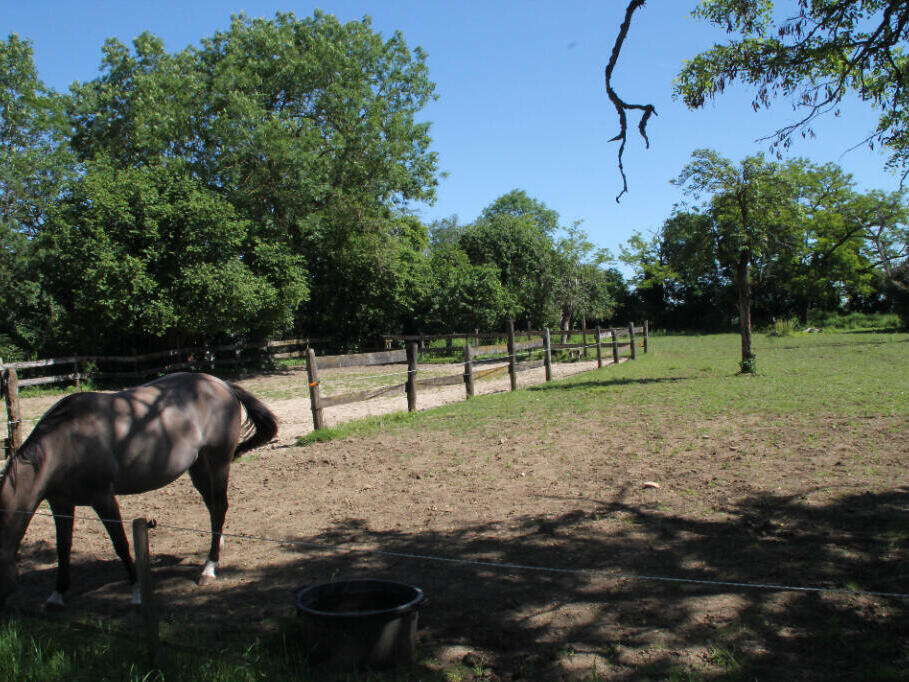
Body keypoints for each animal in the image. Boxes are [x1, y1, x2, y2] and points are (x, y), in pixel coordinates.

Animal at [0, 372, 276, 604]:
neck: (66, 442)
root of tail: (221, 384)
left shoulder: (103, 498)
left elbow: (121, 544)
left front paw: (136, 591)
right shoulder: (61, 503)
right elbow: (62, 548)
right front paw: (57, 595)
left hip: (218, 462)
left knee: (219, 506)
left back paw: (209, 568)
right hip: (198, 466)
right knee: (213, 507)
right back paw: (217, 547)